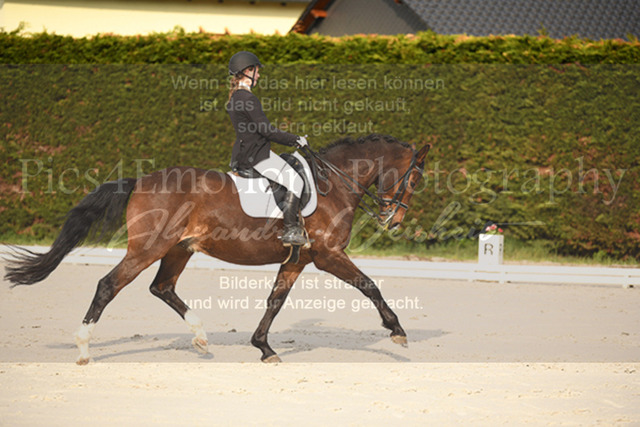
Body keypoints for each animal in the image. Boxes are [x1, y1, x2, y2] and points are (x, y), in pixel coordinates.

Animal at [4, 133, 429, 364]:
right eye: (415, 179)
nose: (394, 221)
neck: (333, 183)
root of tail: (140, 180)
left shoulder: (300, 258)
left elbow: (275, 300)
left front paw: (264, 347)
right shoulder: (327, 256)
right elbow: (369, 285)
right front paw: (397, 332)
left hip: (179, 249)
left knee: (162, 287)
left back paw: (200, 336)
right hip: (148, 248)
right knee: (109, 286)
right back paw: (83, 350)